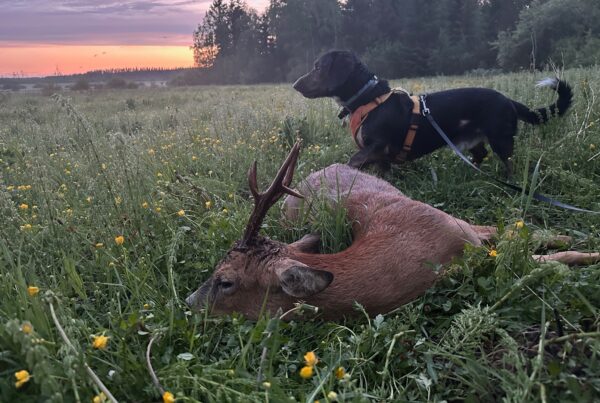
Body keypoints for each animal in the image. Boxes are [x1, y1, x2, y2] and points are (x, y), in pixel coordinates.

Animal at [185, 144, 596, 320]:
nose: (188, 302)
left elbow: (528, 240)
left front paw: (586, 246)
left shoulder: (458, 227)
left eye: (225, 280)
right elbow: (528, 248)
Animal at [292, 50, 576, 174]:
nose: (294, 84)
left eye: (318, 67)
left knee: (507, 162)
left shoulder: (377, 145)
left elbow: (353, 159)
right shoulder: (380, 157)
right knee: (480, 154)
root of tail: (509, 100)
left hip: (501, 139)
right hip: (472, 139)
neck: (369, 98)